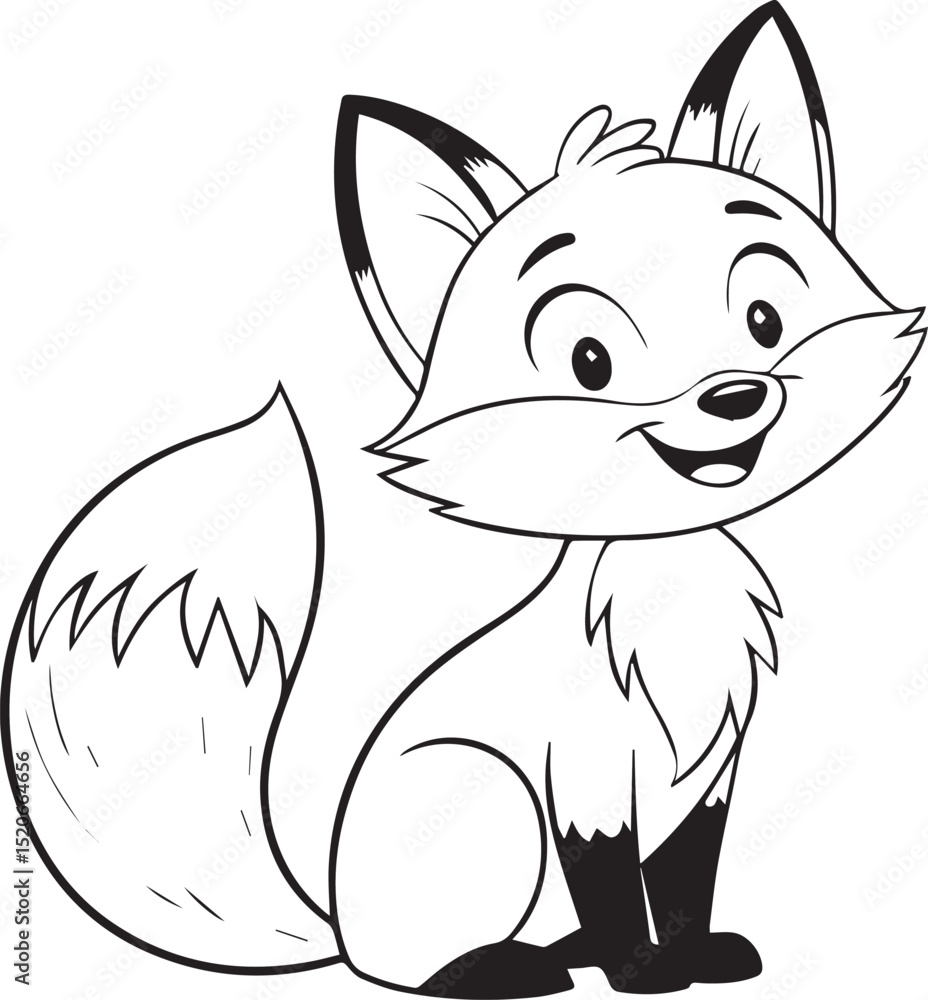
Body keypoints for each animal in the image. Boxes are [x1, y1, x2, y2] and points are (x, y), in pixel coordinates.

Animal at [2, 3, 923, 997]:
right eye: (589, 360)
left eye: (764, 318)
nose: (735, 396)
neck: (667, 588)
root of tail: (335, 923)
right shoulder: (585, 777)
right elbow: (612, 881)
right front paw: (642, 971)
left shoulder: (709, 770)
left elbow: (688, 872)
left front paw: (693, 955)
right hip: (493, 794)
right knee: (424, 966)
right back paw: (510, 967)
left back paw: (559, 954)